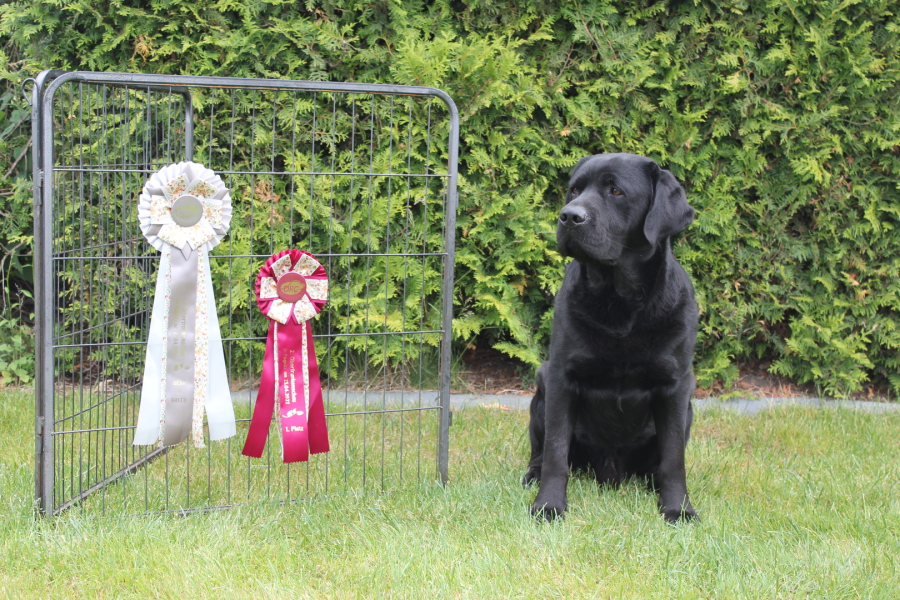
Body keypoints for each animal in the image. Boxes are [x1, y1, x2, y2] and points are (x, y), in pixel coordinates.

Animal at [523, 153, 698, 522]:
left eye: (616, 191)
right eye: (575, 190)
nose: (569, 216)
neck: (620, 302)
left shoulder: (676, 385)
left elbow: (674, 458)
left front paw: (678, 508)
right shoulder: (560, 377)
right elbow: (556, 452)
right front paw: (548, 505)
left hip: (689, 407)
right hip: (541, 387)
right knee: (541, 452)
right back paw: (532, 474)